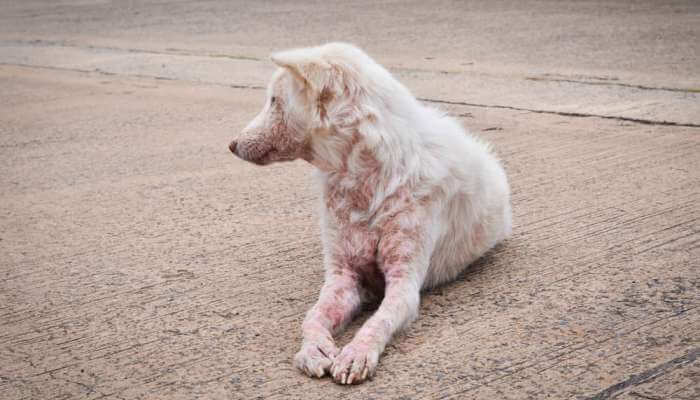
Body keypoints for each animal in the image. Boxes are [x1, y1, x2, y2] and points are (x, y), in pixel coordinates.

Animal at [230, 43, 508, 384]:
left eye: (273, 100)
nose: (231, 145)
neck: (365, 179)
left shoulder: (404, 284)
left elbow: (377, 322)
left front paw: (356, 353)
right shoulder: (343, 278)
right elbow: (313, 316)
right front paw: (313, 349)